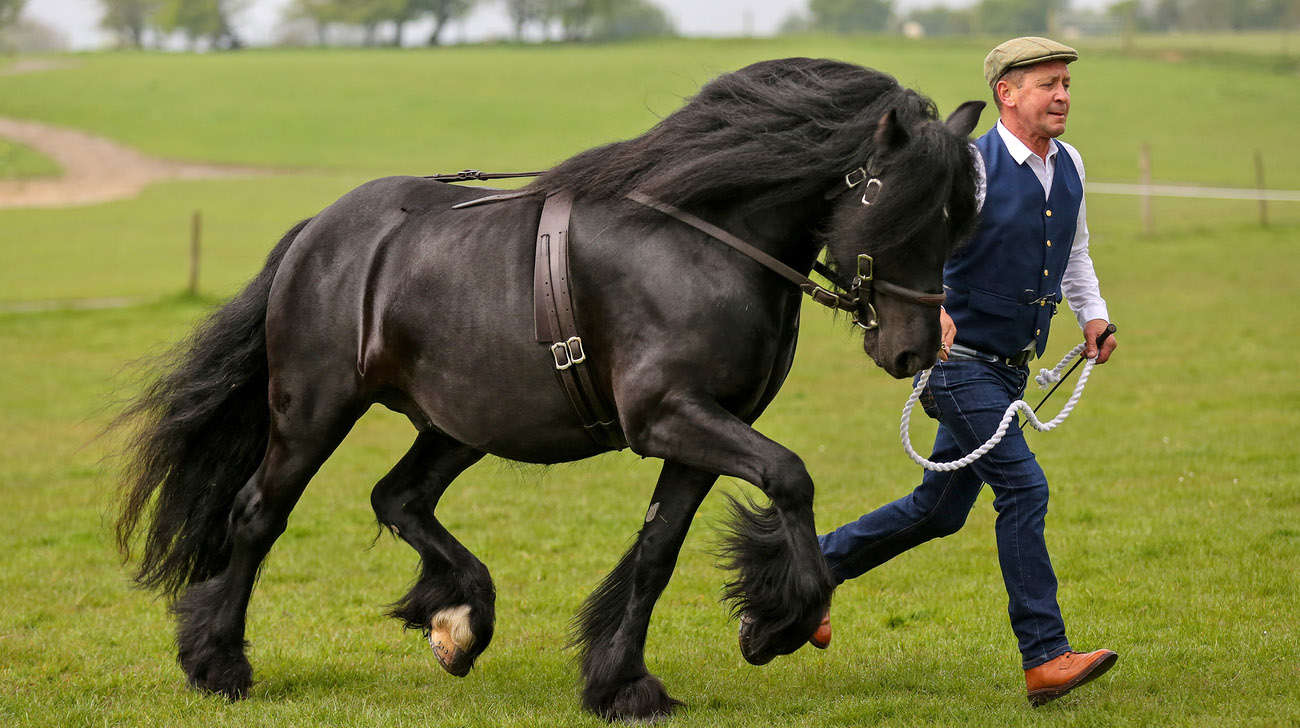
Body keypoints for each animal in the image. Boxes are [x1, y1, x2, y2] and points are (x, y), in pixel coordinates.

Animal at [114, 58, 982, 722]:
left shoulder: (704, 430)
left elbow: (658, 552)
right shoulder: (670, 416)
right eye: (899, 209)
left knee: (398, 497)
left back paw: (459, 619)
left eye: (957, 219)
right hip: (313, 409)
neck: (702, 241)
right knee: (259, 515)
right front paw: (779, 623)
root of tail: (319, 232)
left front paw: (623, 682)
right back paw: (219, 664)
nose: (913, 349)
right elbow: (790, 477)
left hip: (458, 423)